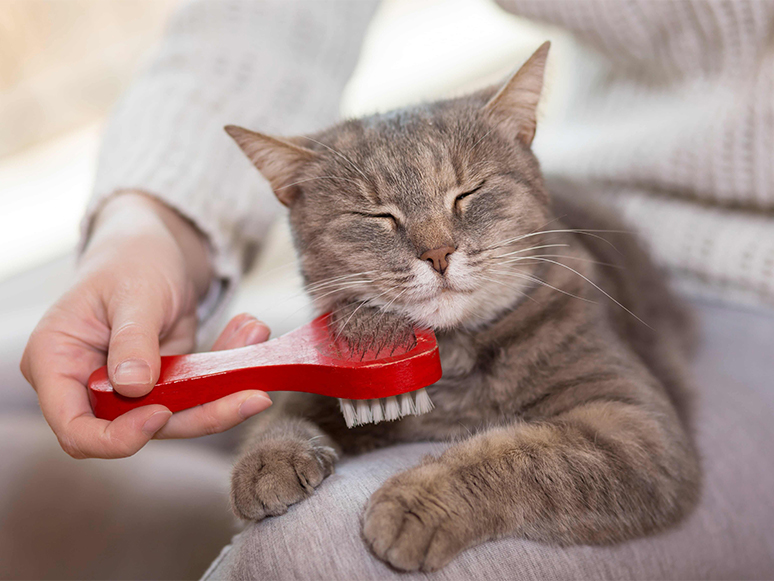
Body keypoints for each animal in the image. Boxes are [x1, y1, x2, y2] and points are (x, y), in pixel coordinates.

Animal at [224, 44, 704, 572]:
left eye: (468, 192)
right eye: (378, 216)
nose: (437, 253)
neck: (451, 360)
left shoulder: (634, 427)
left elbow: (522, 454)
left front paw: (417, 501)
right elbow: (292, 400)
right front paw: (267, 457)